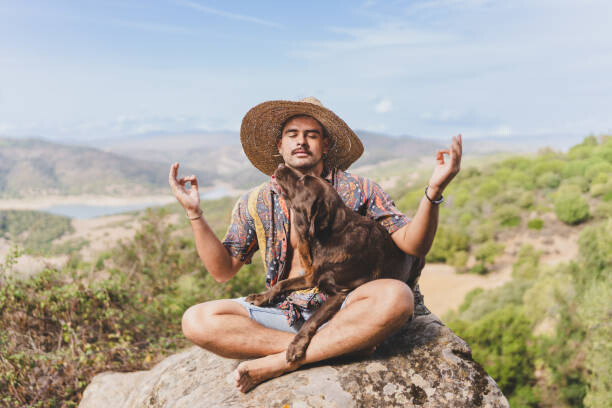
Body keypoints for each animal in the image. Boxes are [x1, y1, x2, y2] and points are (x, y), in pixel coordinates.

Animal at [246, 164, 424, 362]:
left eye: (303, 181)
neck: (328, 236)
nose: (280, 165)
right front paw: (261, 297)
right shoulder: (312, 277)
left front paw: (296, 345)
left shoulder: (339, 293)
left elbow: (312, 318)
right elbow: (282, 283)